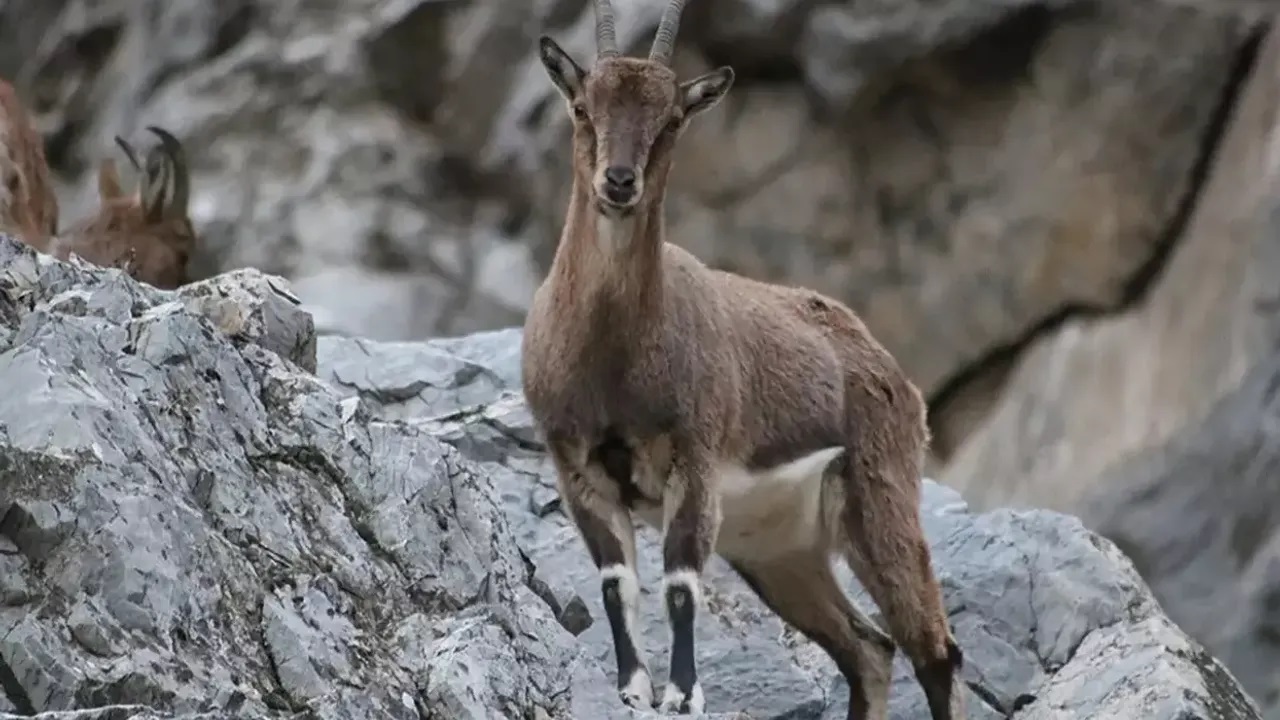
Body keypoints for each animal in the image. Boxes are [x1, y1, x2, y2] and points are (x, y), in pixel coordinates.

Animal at [514, 1, 962, 717]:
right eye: (583, 107)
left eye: (672, 118)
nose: (619, 182)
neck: (613, 357)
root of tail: (892, 375)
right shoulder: (577, 467)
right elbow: (616, 582)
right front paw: (632, 686)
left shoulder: (694, 462)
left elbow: (679, 584)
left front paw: (683, 693)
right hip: (780, 552)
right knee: (868, 650)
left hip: (880, 501)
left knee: (935, 652)